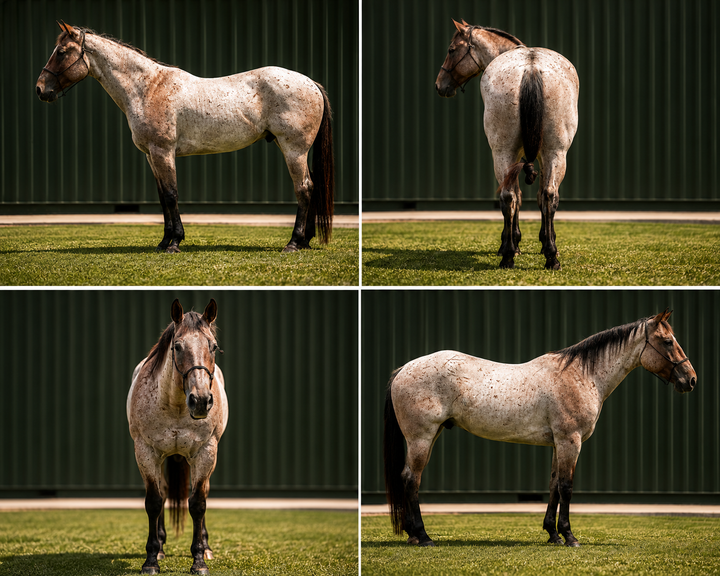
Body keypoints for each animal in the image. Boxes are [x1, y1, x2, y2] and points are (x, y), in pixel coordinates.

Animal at [36, 21, 334, 254]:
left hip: (294, 149)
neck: (147, 88)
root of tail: (311, 83)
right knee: (312, 187)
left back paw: (294, 243)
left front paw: (175, 243)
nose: (40, 89)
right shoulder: (151, 156)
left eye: (61, 52)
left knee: (304, 188)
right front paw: (163, 241)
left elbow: (171, 194)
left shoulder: (163, 151)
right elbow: (161, 197)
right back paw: (306, 241)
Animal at [127, 299, 228, 575]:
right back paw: (161, 548)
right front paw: (151, 560)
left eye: (213, 346)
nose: (201, 401)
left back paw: (206, 546)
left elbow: (198, 503)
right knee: (162, 493)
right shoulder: (146, 452)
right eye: (177, 346)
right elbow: (154, 501)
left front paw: (199, 560)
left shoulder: (205, 452)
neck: (175, 407)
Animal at [384, 310, 696, 548]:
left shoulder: (559, 443)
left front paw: (553, 534)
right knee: (411, 479)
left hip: (430, 436)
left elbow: (554, 486)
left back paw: (413, 535)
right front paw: (570, 537)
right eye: (668, 341)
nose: (691, 379)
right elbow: (567, 487)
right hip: (421, 438)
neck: (582, 375)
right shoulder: (571, 441)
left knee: (408, 478)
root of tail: (403, 369)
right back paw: (423, 536)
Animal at [435, 20, 579, 270]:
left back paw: (509, 254)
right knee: (548, 195)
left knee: (509, 196)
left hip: (503, 153)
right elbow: (537, 196)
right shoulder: (541, 156)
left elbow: (519, 197)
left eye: (451, 50)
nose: (439, 84)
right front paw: (544, 243)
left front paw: (514, 243)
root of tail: (531, 67)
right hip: (555, 152)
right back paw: (550, 257)